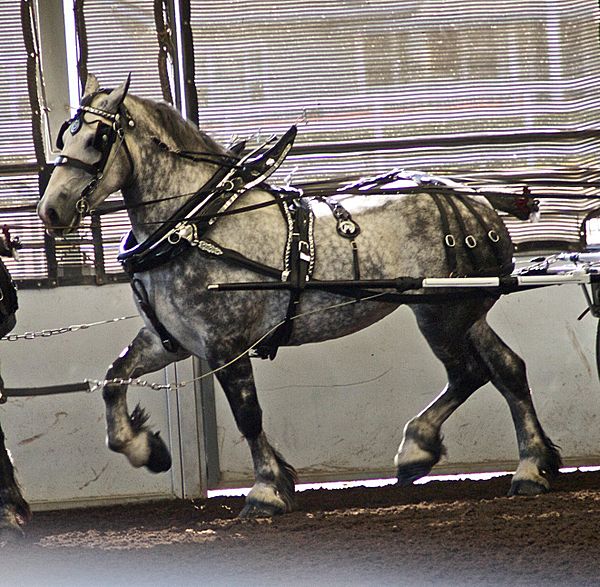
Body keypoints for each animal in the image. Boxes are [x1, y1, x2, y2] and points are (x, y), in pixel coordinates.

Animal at [38, 74, 564, 520]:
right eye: (64, 137)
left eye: (97, 140)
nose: (51, 210)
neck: (197, 223)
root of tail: (475, 198)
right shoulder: (171, 339)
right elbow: (113, 380)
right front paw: (145, 448)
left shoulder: (225, 343)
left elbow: (248, 415)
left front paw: (267, 490)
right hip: (465, 311)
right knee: (507, 370)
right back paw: (532, 468)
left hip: (439, 313)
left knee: (469, 373)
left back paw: (418, 450)